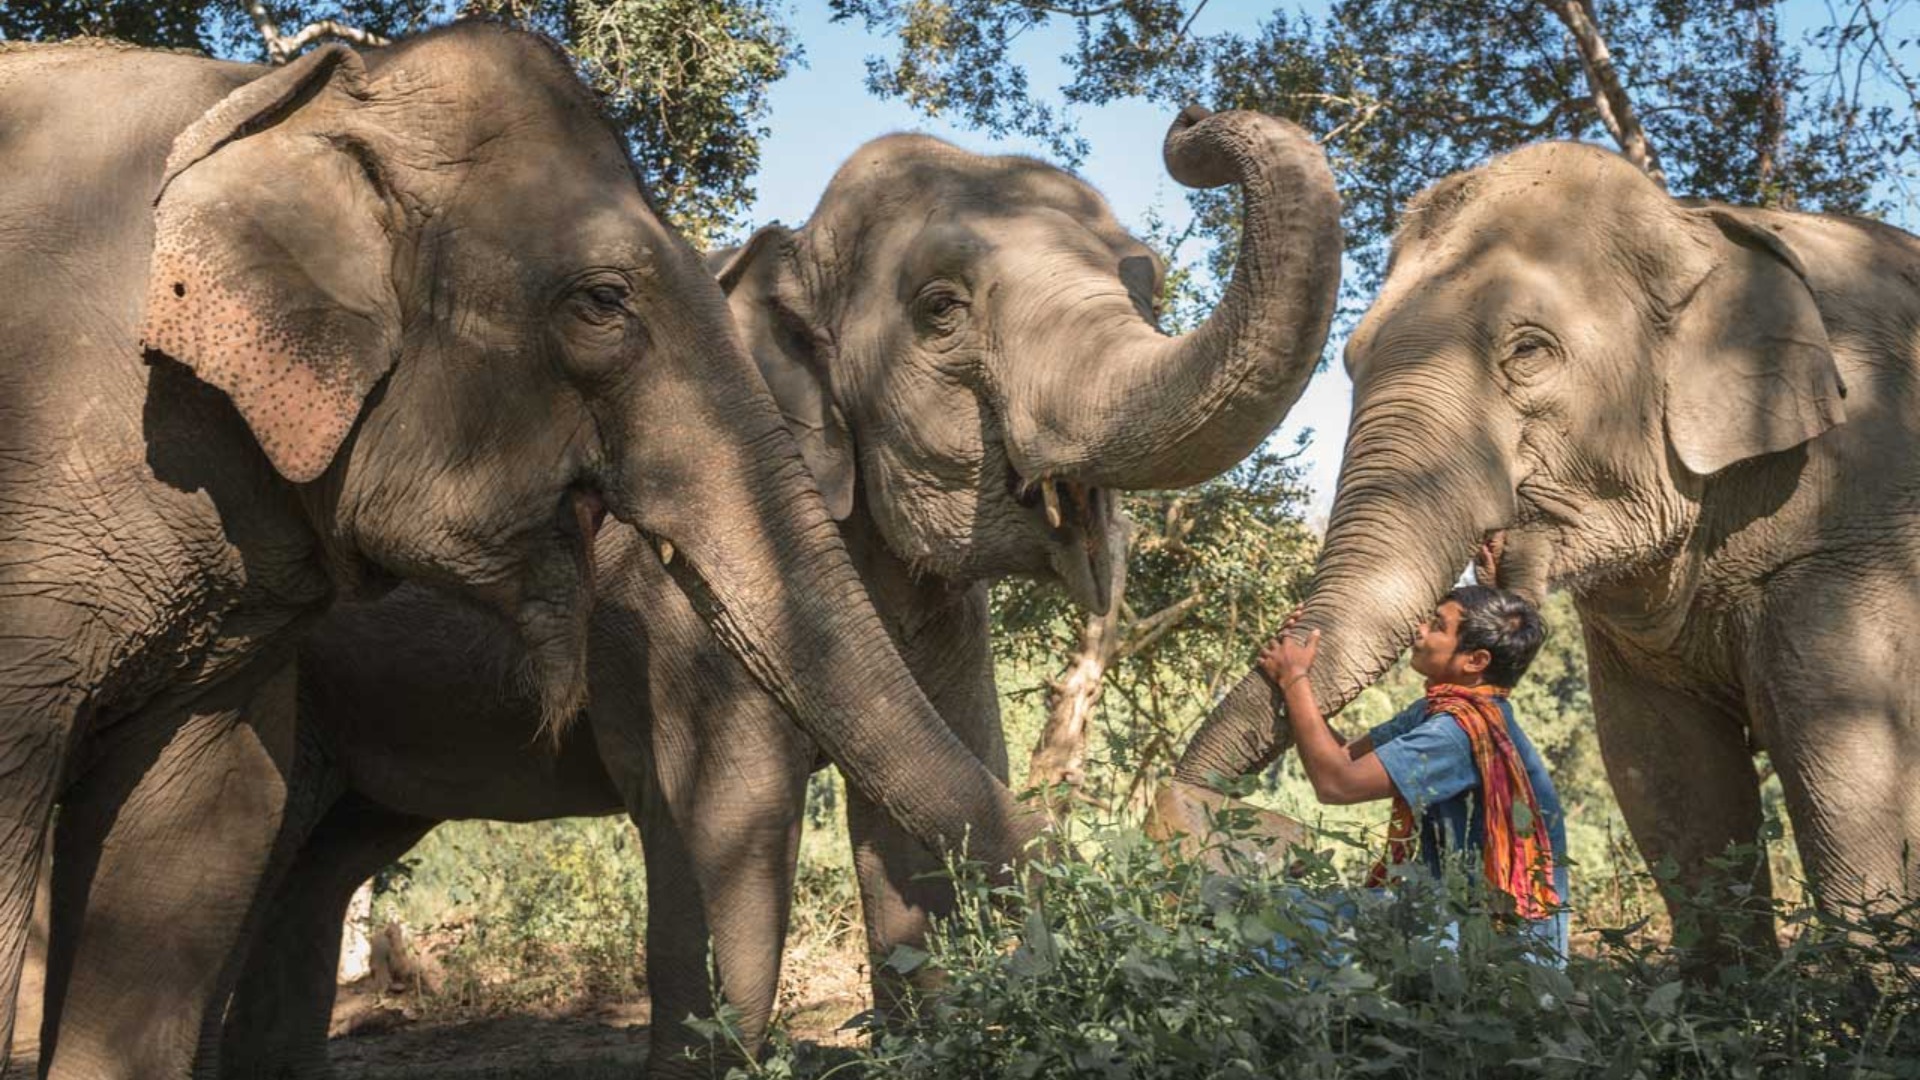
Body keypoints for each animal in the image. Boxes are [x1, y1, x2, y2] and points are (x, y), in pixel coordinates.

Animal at [194, 108, 1344, 1078]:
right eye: (940, 310)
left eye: (1147, 288)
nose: (1189, 127)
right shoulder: (664, 603)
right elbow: (726, 818)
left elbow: (932, 797)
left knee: (320, 869)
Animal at [1173, 139, 1920, 959]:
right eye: (1350, 356)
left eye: (1529, 351)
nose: (1201, 811)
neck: (1698, 227)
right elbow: (1666, 777)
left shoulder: (1853, 531)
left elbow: (1849, 779)